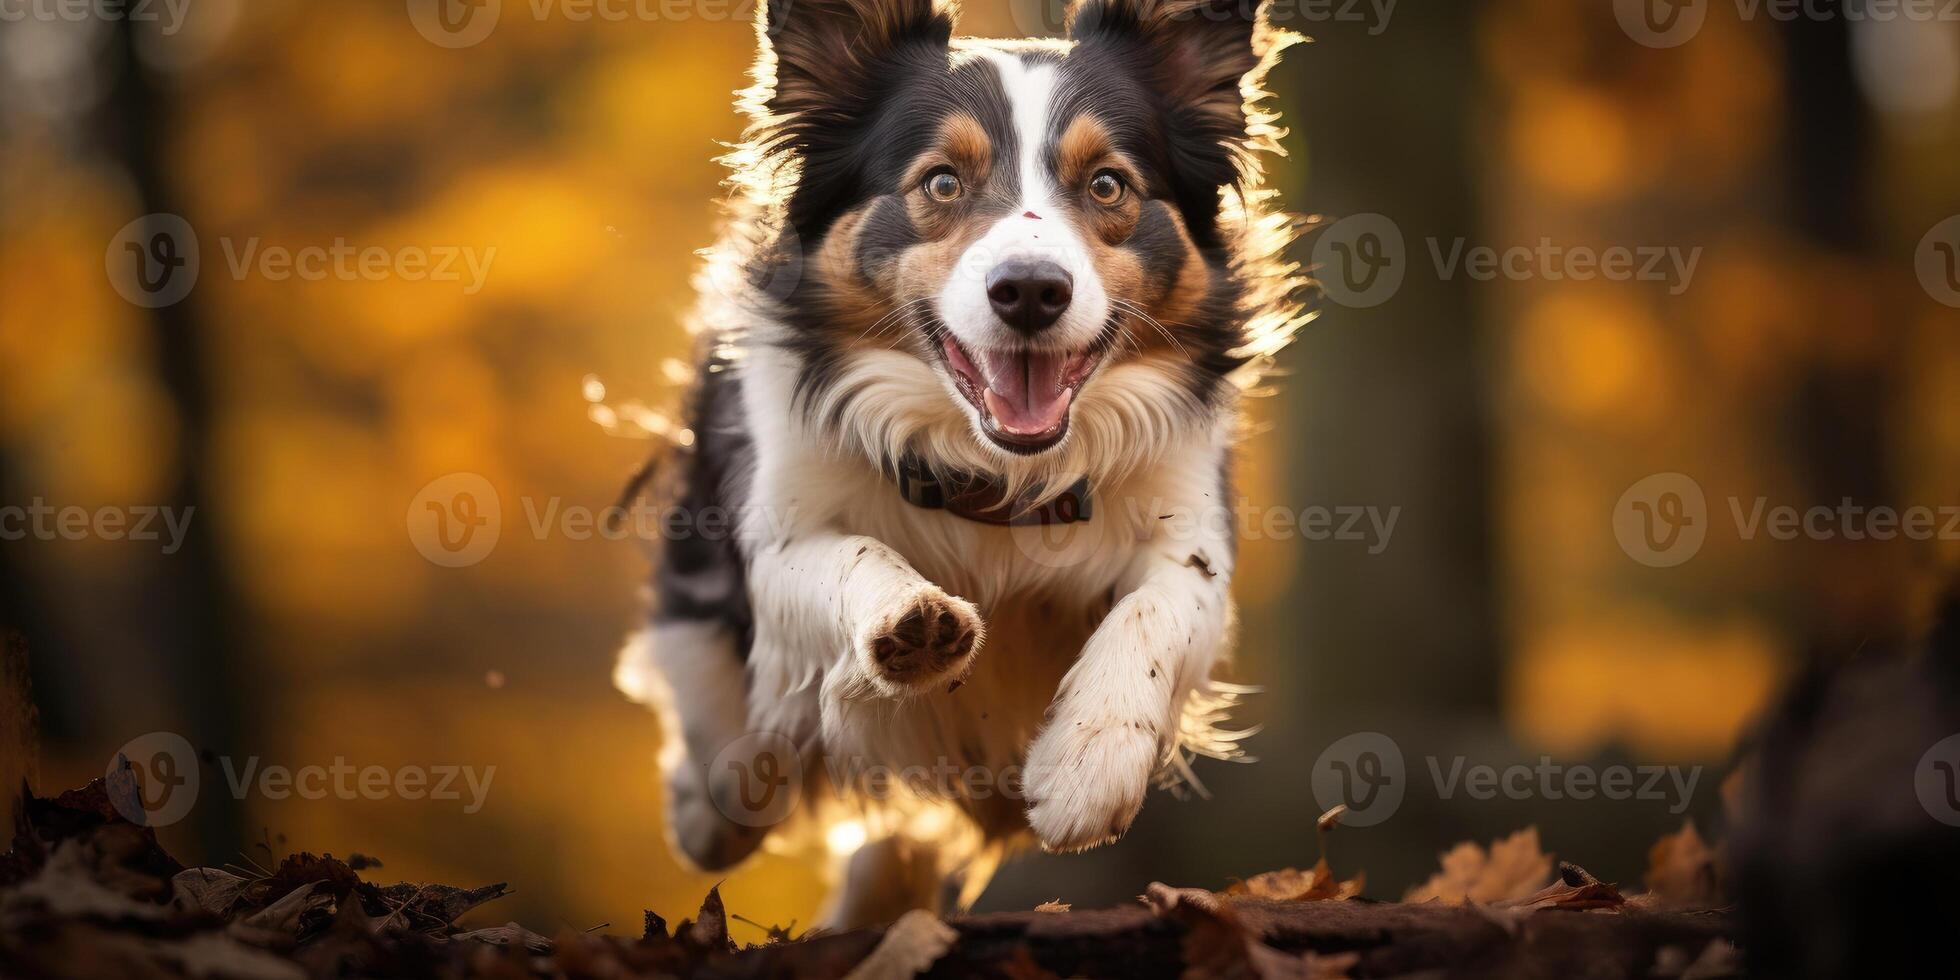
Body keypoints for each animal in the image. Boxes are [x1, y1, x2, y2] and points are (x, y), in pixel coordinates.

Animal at [619, 0, 1309, 925]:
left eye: (1107, 186)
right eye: (942, 183)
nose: (1030, 291)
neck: (997, 476)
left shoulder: (1190, 521)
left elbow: (1161, 608)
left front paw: (1089, 767)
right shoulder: (778, 529)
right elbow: (845, 556)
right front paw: (909, 623)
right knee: (724, 748)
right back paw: (712, 803)